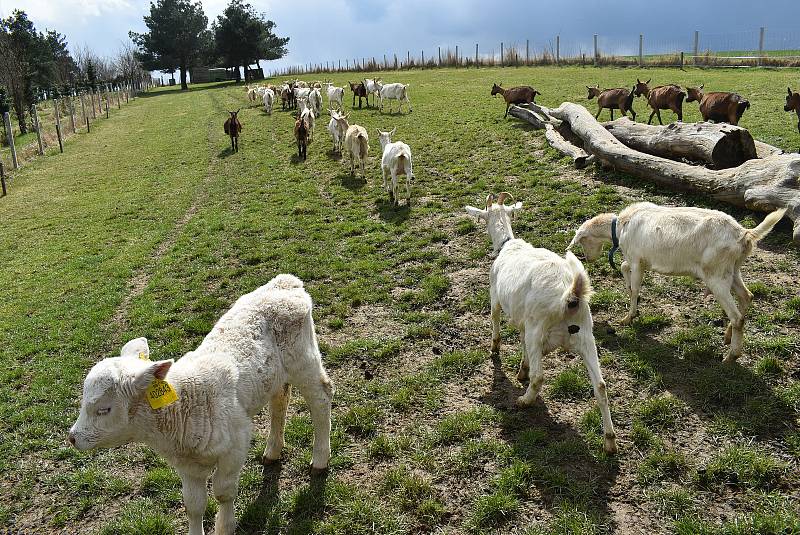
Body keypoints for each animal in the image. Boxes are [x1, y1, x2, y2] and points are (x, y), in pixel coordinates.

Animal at [67, 276, 332, 535]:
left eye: (104, 409)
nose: (72, 437)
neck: (184, 404)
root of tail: (286, 282)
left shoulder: (236, 444)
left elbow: (223, 493)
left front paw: (224, 528)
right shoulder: (187, 465)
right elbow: (193, 505)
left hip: (303, 358)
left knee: (321, 397)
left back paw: (320, 459)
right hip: (275, 375)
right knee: (280, 399)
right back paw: (273, 451)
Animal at [462, 193, 620, 452]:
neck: (507, 244)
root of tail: (570, 296)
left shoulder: (496, 297)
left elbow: (495, 321)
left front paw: (495, 349)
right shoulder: (523, 322)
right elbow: (522, 347)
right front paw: (521, 371)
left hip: (538, 329)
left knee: (539, 377)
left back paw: (524, 400)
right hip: (586, 336)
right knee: (601, 386)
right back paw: (610, 442)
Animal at [568, 203, 788, 362]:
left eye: (583, 241)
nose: (588, 259)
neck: (621, 226)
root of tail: (744, 234)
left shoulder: (637, 260)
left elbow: (635, 287)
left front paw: (628, 317)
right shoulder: (640, 261)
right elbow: (623, 268)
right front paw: (631, 298)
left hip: (716, 276)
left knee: (737, 316)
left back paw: (731, 356)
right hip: (733, 270)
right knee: (746, 297)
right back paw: (728, 337)